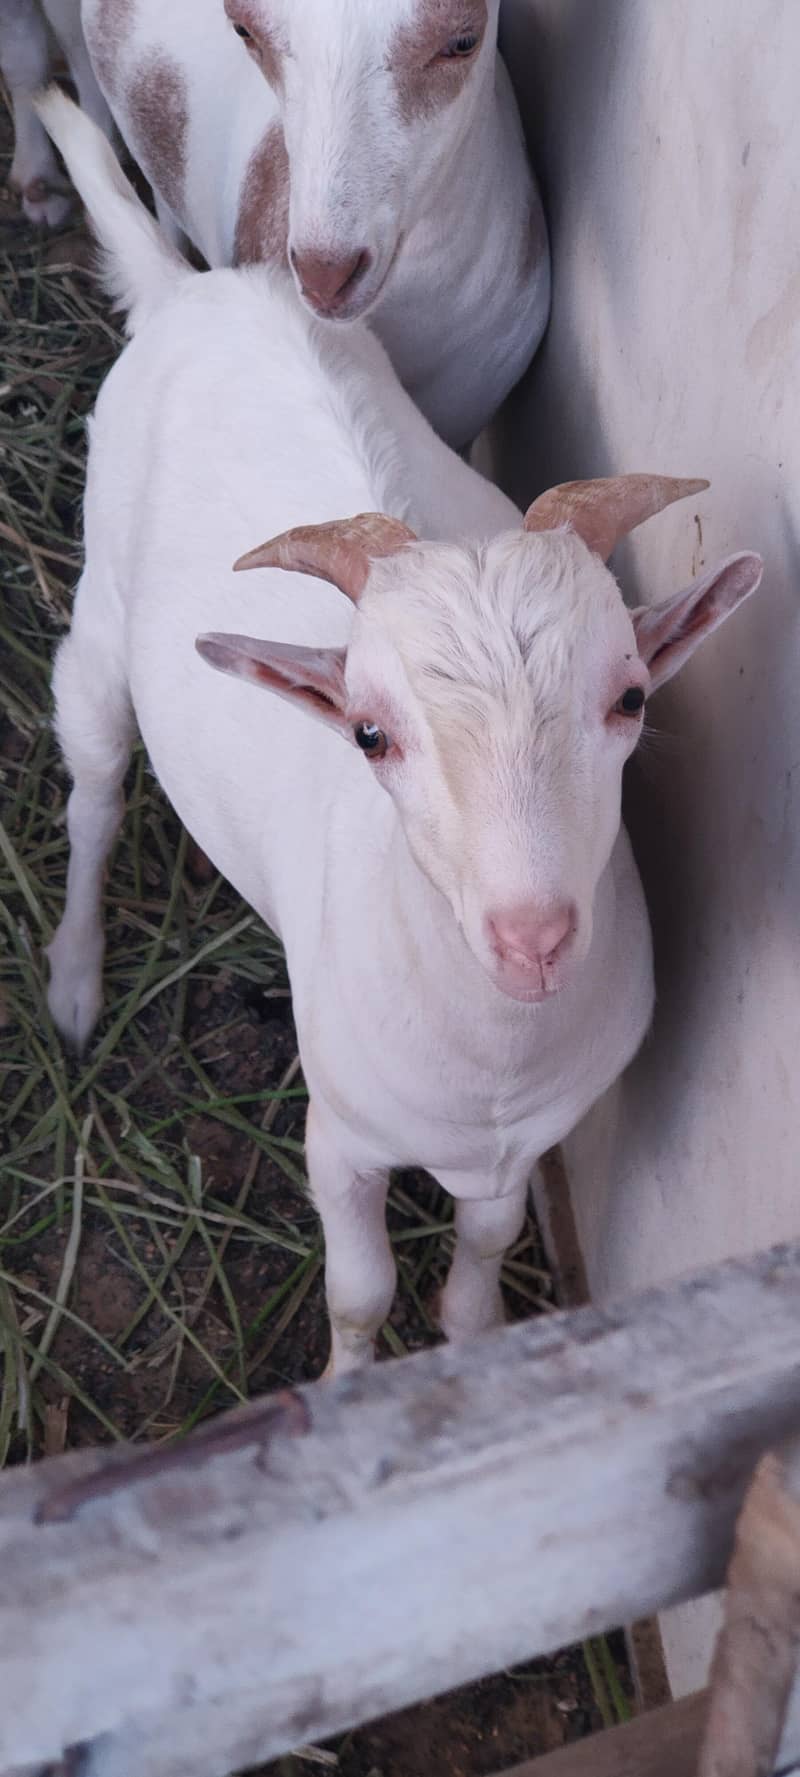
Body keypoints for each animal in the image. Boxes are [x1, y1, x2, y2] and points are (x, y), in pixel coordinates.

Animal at [39, 92, 763, 1377]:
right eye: (370, 733)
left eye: (628, 697)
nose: (532, 937)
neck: (492, 1059)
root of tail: (187, 294)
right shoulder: (338, 1138)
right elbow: (359, 1290)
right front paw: (347, 1380)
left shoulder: (521, 1142)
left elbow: (484, 1248)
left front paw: (471, 1335)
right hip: (102, 631)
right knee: (96, 782)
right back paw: (75, 981)